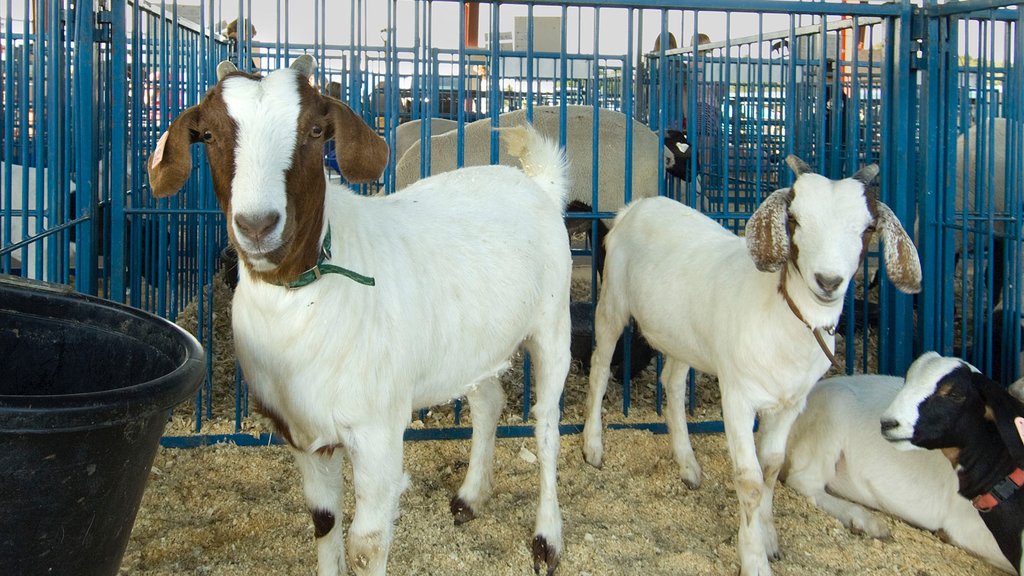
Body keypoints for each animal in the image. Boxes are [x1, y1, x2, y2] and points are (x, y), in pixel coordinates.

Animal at [147, 53, 573, 573]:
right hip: (471, 345)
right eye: (207, 134)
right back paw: (470, 497)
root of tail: (537, 185)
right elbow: (324, 521)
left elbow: (367, 543)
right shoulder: (303, 433)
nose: (257, 225)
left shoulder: (377, 432)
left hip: (552, 328)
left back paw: (547, 538)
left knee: (547, 426)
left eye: (314, 130)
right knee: (488, 401)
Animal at [581, 153, 925, 573]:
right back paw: (593, 446)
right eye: (794, 219)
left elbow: (773, 467)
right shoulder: (737, 398)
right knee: (600, 367)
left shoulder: (792, 404)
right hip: (612, 303)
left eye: (868, 227)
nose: (828, 281)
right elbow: (749, 479)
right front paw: (754, 558)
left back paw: (688, 465)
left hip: (682, 336)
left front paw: (770, 538)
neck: (782, 317)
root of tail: (637, 206)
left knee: (673, 383)